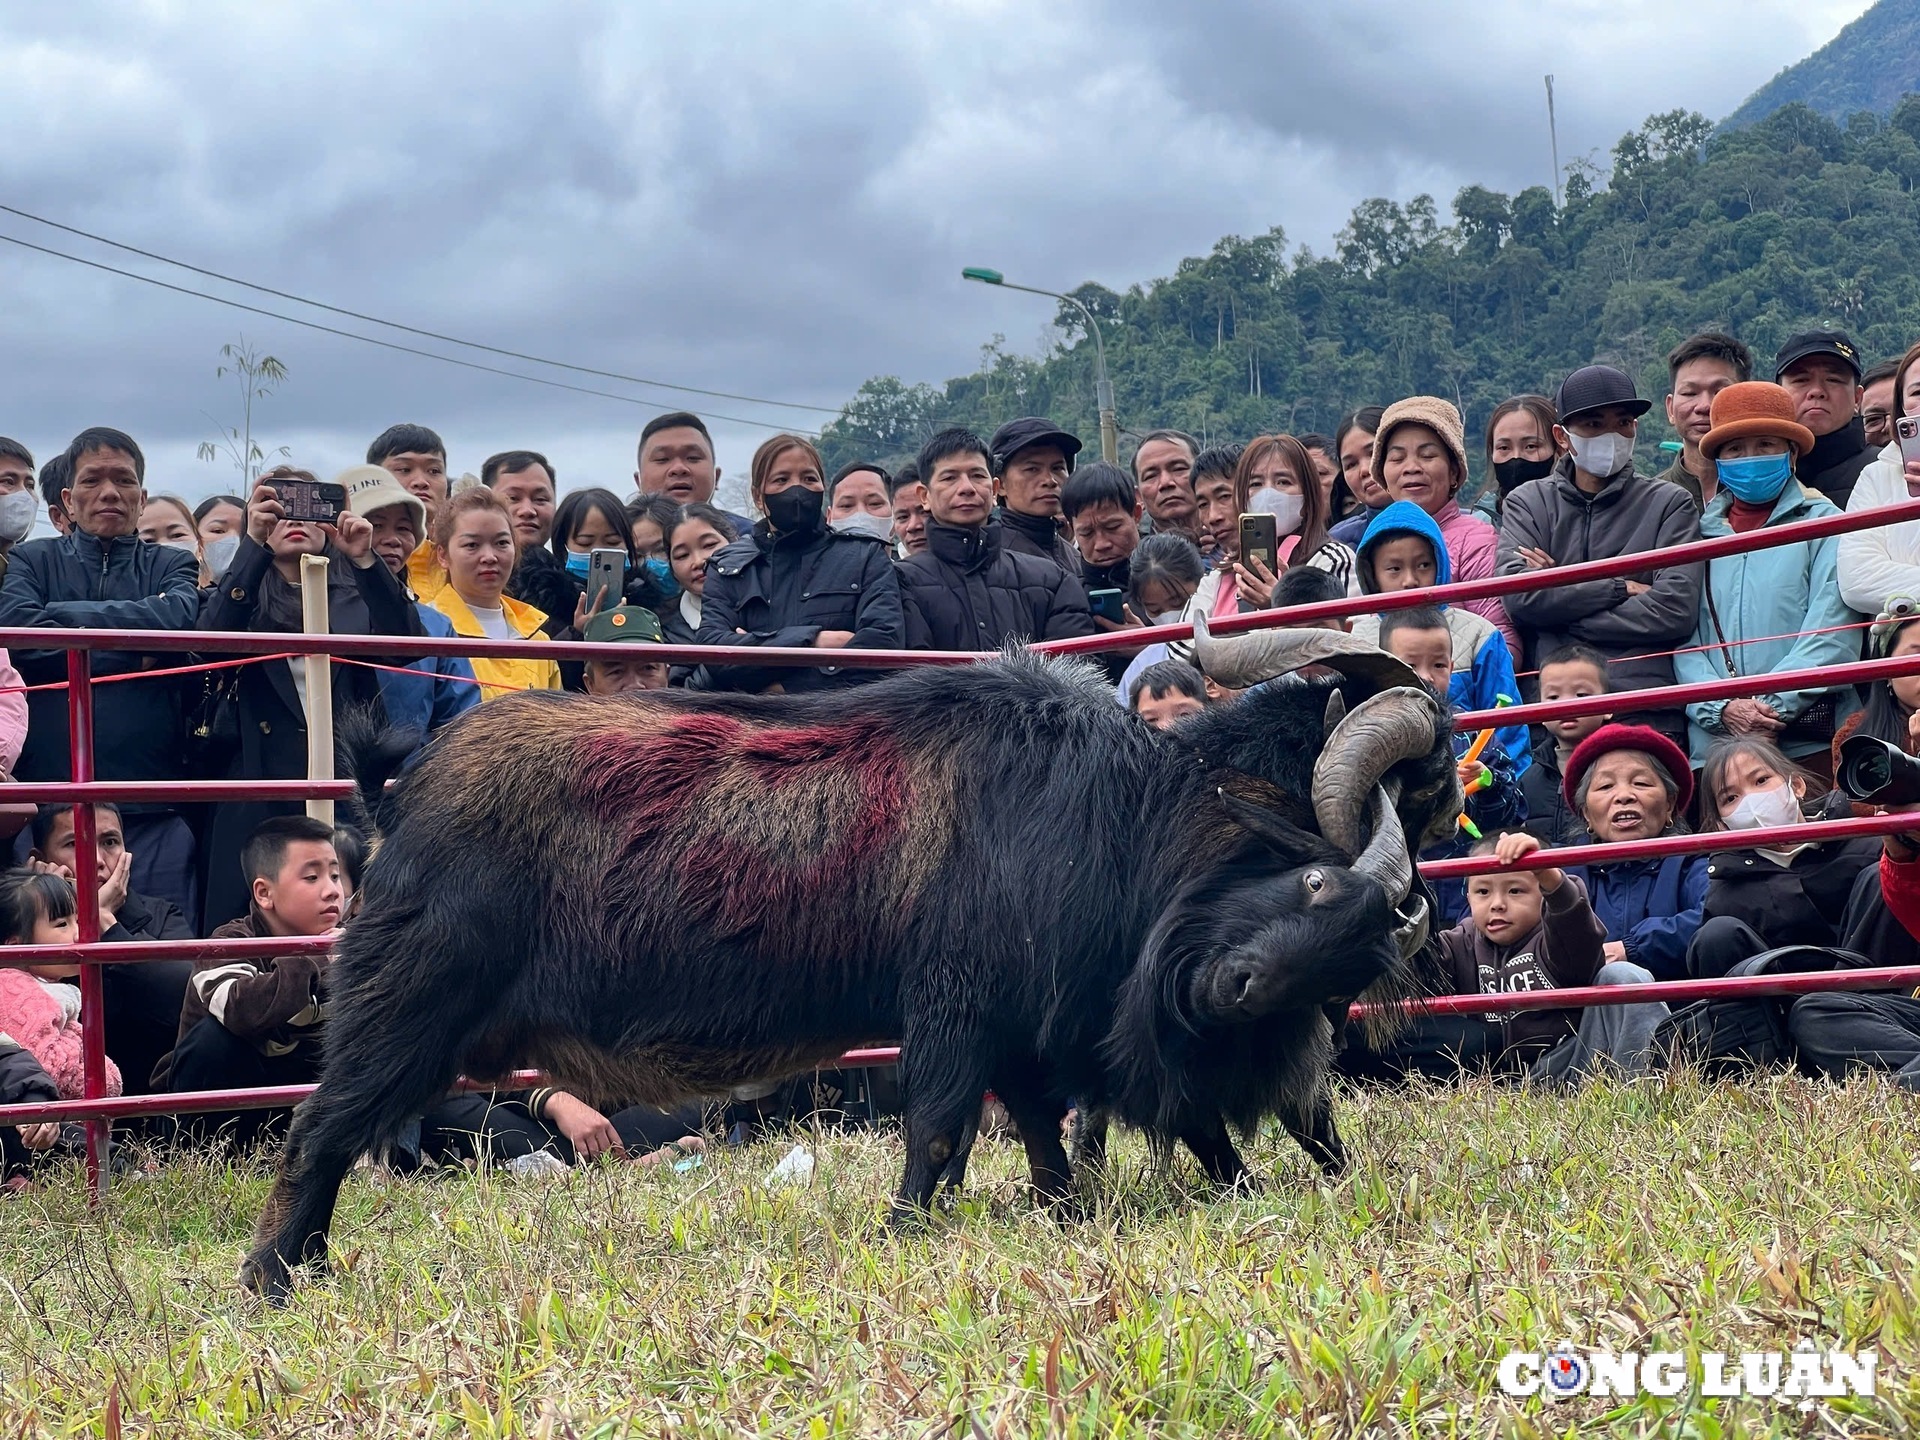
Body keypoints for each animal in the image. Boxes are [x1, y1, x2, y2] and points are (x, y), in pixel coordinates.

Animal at [247, 625, 1459, 1305]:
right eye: (1316, 881)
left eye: (1356, 945)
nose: (1230, 991)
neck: (1112, 809)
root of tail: (398, 795)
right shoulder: (955, 1006)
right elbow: (939, 1131)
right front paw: (905, 1231)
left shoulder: (1026, 1027)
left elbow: (1046, 1134)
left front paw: (1070, 1212)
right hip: (406, 1007)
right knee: (320, 1132)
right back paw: (271, 1282)